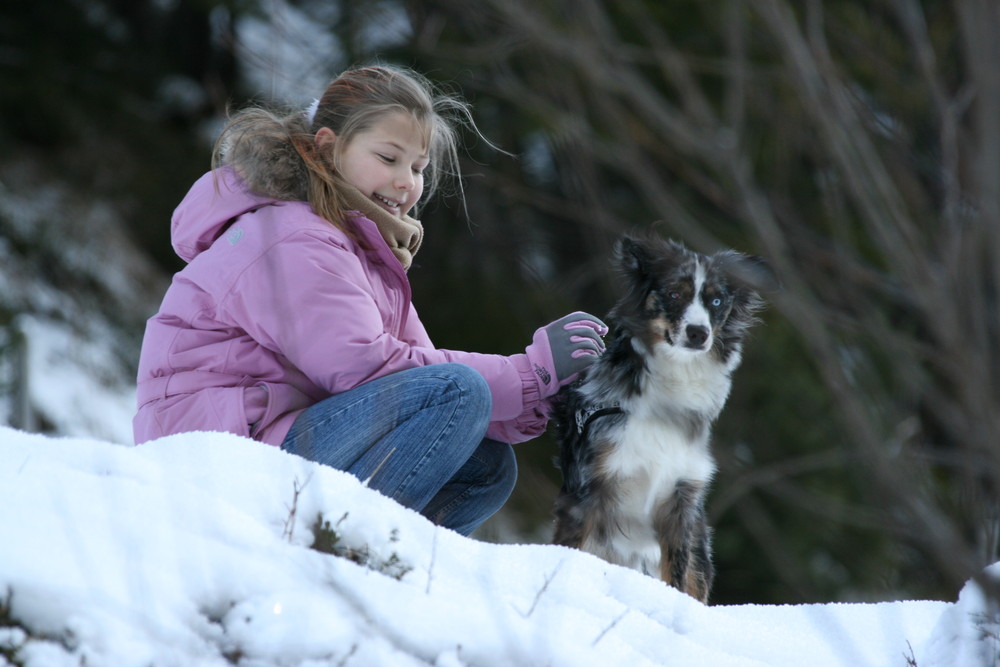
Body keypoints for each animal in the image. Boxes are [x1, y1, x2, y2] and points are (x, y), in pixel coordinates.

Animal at [552, 236, 776, 604]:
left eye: (716, 300)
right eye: (674, 294)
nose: (698, 333)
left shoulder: (681, 502)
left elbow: (677, 574)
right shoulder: (591, 490)